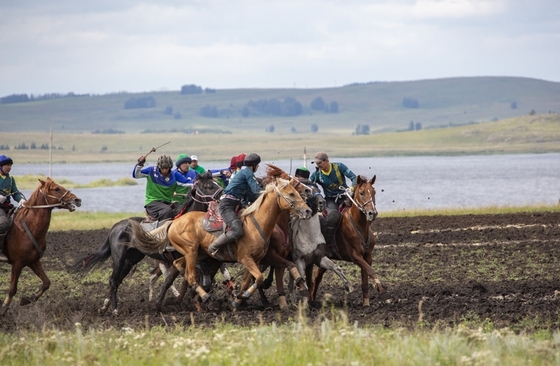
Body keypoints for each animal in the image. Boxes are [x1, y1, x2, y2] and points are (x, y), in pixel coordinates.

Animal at [0, 177, 82, 314]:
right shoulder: (17, 264)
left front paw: (28, 299)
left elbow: (46, 282)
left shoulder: (33, 261)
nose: (77, 200)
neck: (27, 228)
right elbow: (12, 289)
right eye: (56, 189)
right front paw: (4, 309)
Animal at [71, 172, 224, 314]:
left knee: (116, 280)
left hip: (131, 259)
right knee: (114, 280)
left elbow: (188, 278)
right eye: (208, 186)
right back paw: (115, 310)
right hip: (119, 258)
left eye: (216, 183)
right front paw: (160, 304)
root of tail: (116, 226)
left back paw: (104, 307)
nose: (223, 195)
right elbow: (171, 281)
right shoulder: (180, 259)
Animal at [128, 177, 310, 308]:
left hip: (197, 253)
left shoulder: (256, 260)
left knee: (179, 266)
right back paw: (204, 296)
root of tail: (173, 223)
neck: (257, 223)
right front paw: (240, 297)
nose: (308, 210)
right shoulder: (246, 258)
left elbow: (248, 281)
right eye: (291, 194)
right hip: (191, 250)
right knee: (190, 276)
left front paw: (238, 300)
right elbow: (258, 278)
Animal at [312, 174, 388, 306]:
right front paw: (381, 289)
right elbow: (371, 271)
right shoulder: (355, 256)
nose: (372, 213)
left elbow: (365, 279)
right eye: (362, 193)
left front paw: (366, 303)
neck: (360, 226)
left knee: (317, 277)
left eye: (374, 192)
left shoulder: (367, 256)